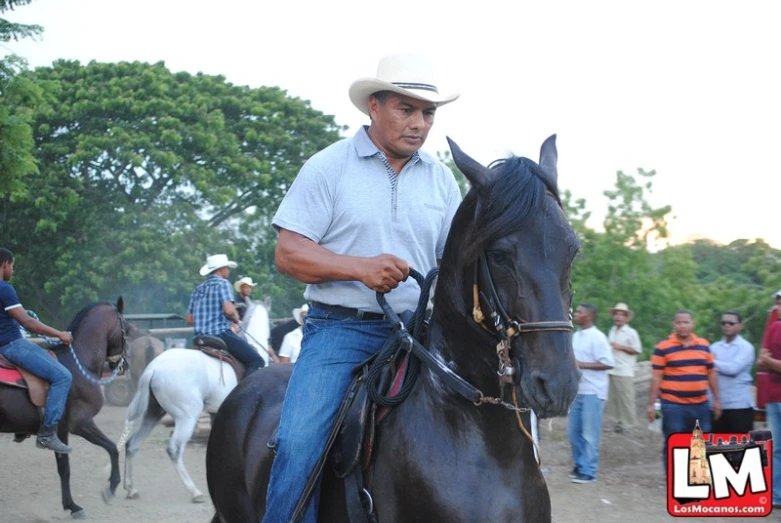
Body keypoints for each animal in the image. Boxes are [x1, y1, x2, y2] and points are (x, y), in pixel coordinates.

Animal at [0, 298, 129, 520]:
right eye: (126, 329)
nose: (124, 364)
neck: (79, 367)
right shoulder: (79, 424)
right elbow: (111, 448)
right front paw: (109, 488)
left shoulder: (63, 430)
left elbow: (65, 467)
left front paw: (72, 505)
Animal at [120, 302, 270, 504]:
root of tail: (154, 368)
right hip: (187, 416)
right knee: (174, 449)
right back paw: (194, 491)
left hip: (153, 413)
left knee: (131, 444)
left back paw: (130, 488)